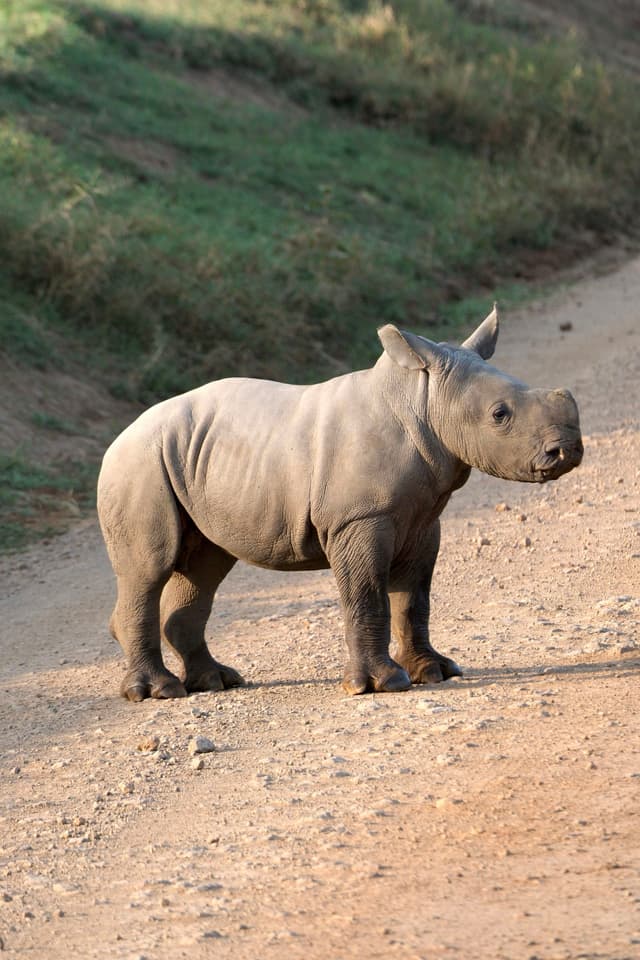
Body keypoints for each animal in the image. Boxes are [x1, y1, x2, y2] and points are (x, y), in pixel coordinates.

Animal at [97, 307, 582, 701]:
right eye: (500, 415)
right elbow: (367, 595)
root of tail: (118, 438)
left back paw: (216, 682)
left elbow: (415, 598)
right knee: (149, 568)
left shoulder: (423, 519)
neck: (420, 400)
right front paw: (382, 684)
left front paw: (435, 672)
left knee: (206, 564)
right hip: (139, 464)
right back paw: (158, 692)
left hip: (187, 462)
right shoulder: (360, 517)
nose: (568, 451)